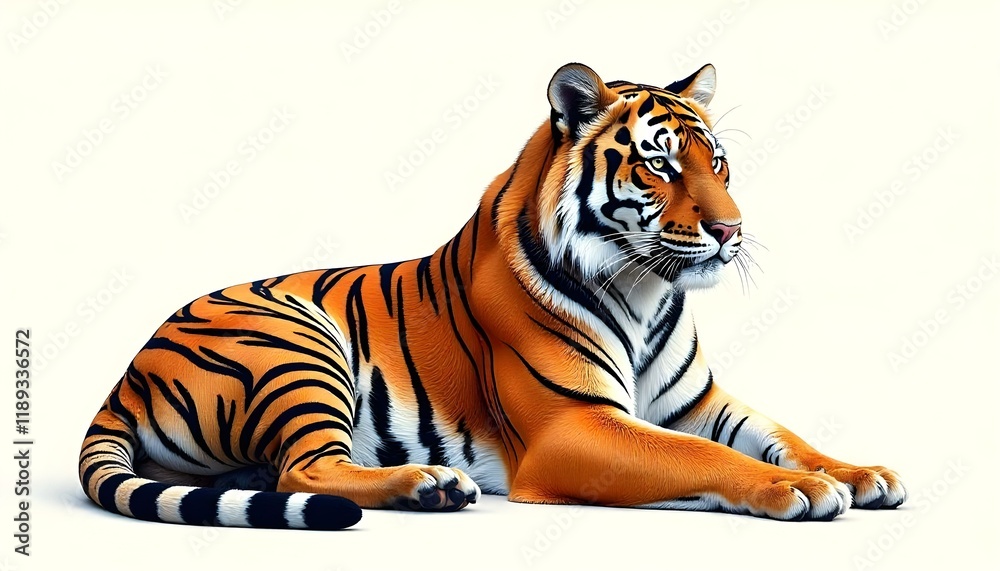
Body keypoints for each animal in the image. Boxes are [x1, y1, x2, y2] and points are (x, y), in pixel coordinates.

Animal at [79, 62, 907, 530]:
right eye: (660, 165)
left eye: (720, 164)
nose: (732, 230)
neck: (647, 289)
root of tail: (126, 374)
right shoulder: (575, 426)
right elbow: (701, 456)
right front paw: (795, 487)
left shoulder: (697, 401)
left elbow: (780, 432)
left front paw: (859, 472)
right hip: (295, 345)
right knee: (304, 468)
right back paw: (430, 485)